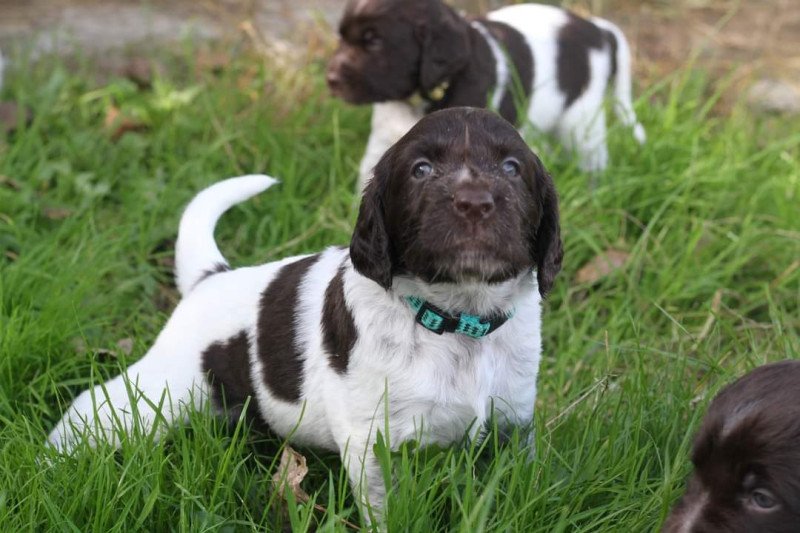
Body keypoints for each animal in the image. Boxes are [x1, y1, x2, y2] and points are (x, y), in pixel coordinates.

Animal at [48, 107, 564, 520]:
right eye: (421, 169)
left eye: (512, 168)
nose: (475, 203)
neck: (457, 320)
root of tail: (212, 277)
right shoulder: (374, 441)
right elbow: (388, 509)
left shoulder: (512, 423)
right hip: (162, 389)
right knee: (96, 405)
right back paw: (52, 460)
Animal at [324, 0, 644, 191]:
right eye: (341, 37)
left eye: (374, 42)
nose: (331, 80)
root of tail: (597, 30)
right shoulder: (384, 140)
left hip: (581, 119)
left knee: (592, 157)